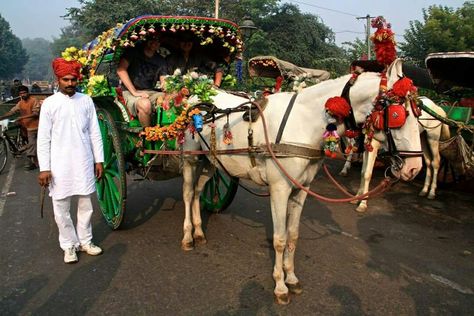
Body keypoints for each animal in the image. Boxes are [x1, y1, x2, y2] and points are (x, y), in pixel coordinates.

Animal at [181, 58, 422, 304]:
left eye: (418, 114)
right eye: (397, 115)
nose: (415, 167)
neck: (304, 123)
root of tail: (197, 94)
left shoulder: (302, 188)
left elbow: (293, 235)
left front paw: (291, 277)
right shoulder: (279, 188)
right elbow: (279, 238)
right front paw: (280, 286)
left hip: (210, 160)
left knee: (199, 190)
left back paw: (199, 232)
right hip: (190, 157)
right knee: (188, 193)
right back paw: (188, 236)